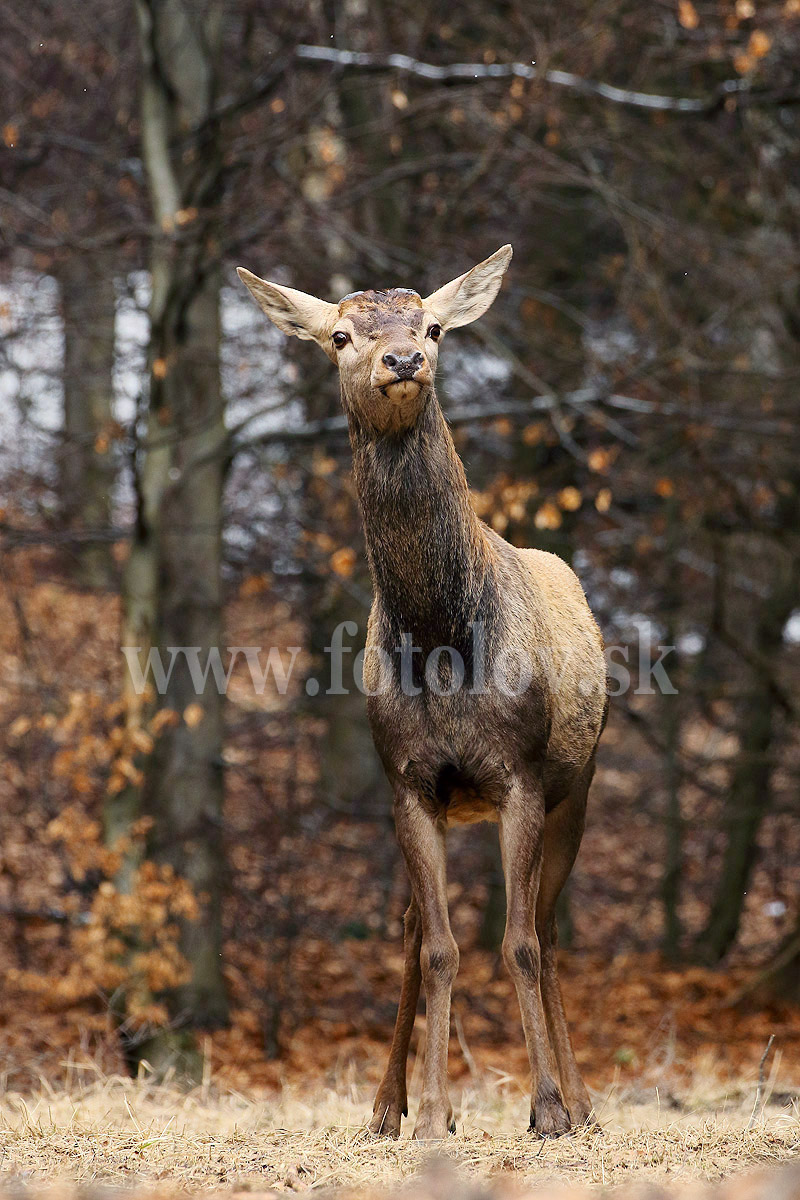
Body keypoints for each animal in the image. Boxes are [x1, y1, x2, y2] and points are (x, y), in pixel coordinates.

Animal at [236, 246, 606, 1142]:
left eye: (434, 325)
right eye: (339, 335)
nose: (402, 359)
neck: (443, 639)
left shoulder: (521, 774)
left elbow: (519, 942)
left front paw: (547, 1109)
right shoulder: (405, 779)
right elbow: (438, 946)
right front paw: (433, 1114)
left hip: (577, 785)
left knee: (546, 926)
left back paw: (580, 1102)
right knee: (413, 930)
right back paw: (384, 1105)